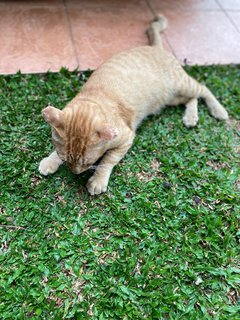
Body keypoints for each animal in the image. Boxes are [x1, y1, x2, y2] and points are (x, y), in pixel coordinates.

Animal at [38, 15, 228, 195]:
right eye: (66, 159)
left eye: (88, 163)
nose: (75, 172)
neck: (95, 97)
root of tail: (156, 48)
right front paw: (50, 161)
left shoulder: (126, 139)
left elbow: (108, 160)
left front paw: (98, 180)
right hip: (171, 98)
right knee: (192, 98)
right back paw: (191, 117)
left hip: (181, 84)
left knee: (203, 89)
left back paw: (218, 111)